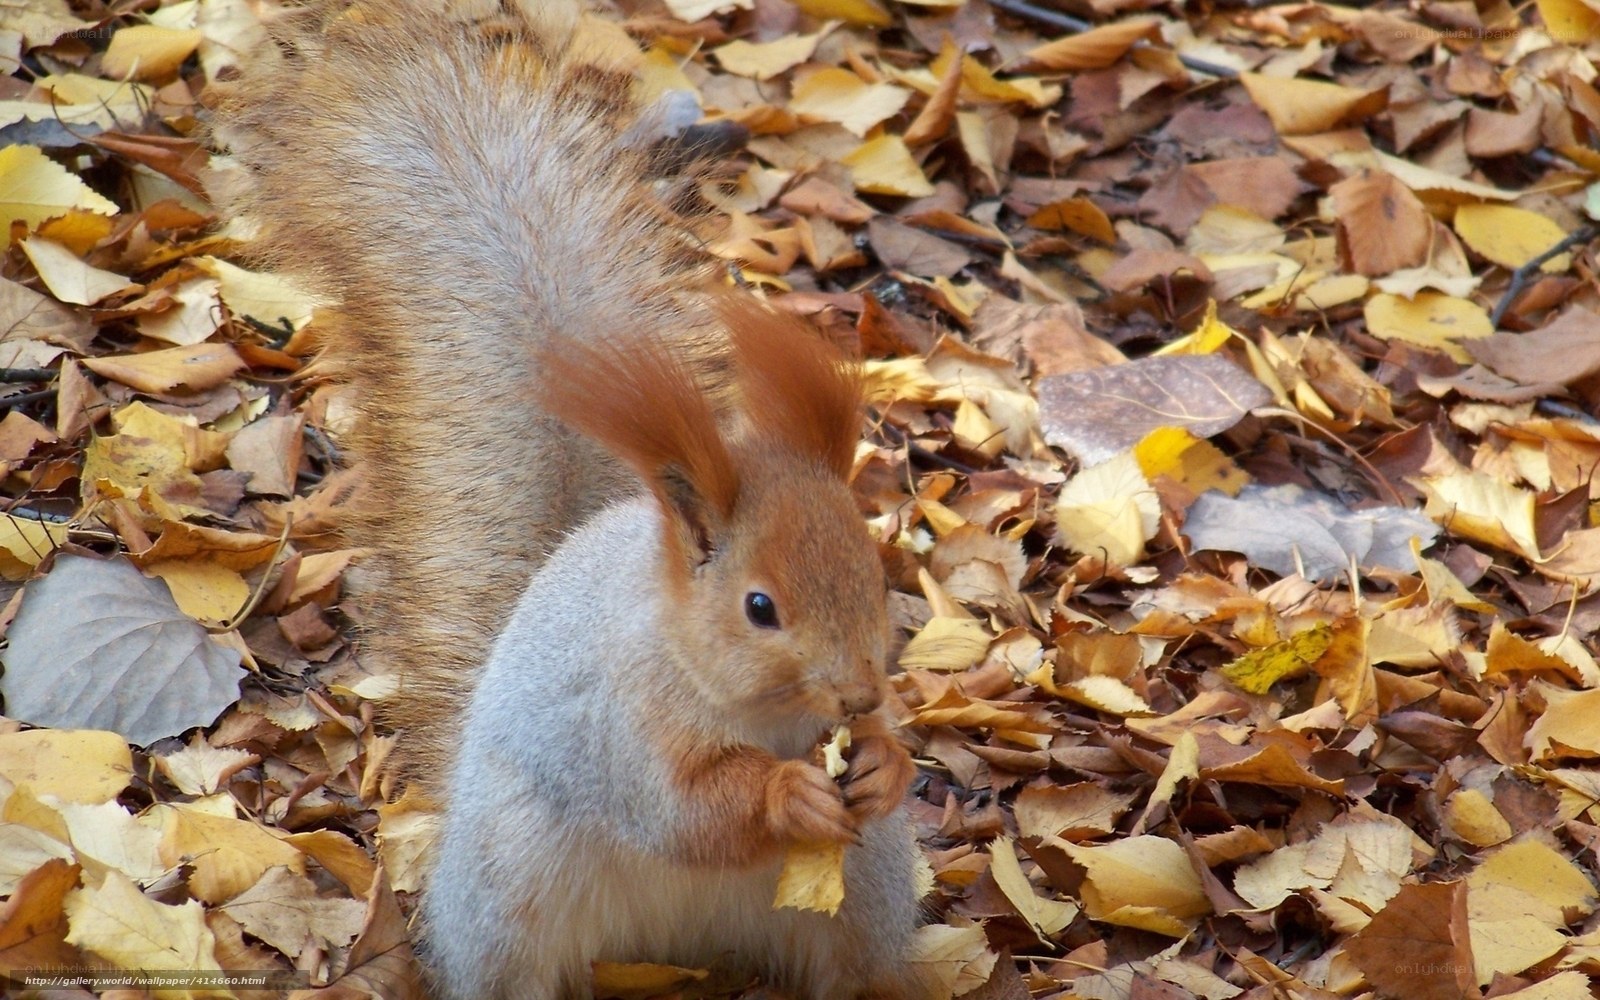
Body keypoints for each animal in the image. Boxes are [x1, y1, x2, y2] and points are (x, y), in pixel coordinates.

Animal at [216, 1, 932, 997]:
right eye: (759, 607)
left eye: (876, 570)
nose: (862, 695)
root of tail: (677, 945)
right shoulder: (618, 726)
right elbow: (684, 813)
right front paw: (788, 792)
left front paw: (885, 763)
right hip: (512, 889)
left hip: (866, 890)